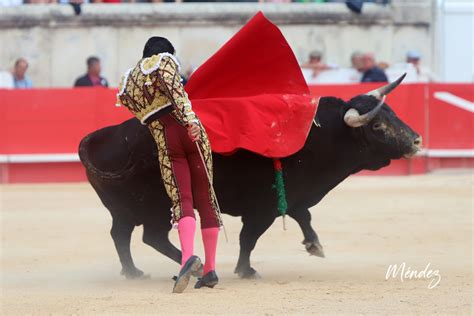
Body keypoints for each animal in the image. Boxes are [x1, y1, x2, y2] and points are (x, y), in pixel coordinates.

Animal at [78, 84, 422, 278]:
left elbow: (303, 215)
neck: (318, 135)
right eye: (377, 126)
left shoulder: (288, 195)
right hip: (157, 208)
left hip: (125, 210)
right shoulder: (261, 208)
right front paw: (246, 270)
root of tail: (99, 137)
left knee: (121, 235)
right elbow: (250, 238)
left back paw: (133, 272)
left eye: (392, 113)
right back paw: (192, 265)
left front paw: (315, 246)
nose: (417, 140)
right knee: (151, 237)